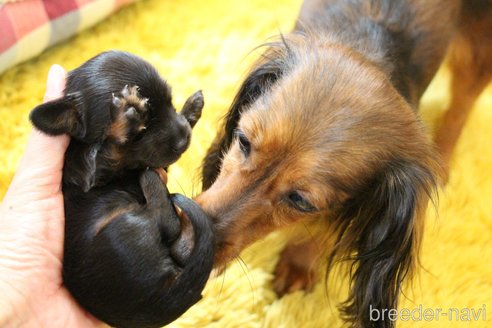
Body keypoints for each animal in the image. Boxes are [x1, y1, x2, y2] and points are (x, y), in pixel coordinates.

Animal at [29, 51, 214, 328]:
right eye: (140, 132)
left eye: (170, 102)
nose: (183, 140)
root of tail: (161, 302)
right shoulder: (94, 173)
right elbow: (113, 150)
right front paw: (123, 119)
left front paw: (191, 108)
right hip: (123, 226)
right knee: (169, 224)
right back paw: (151, 182)